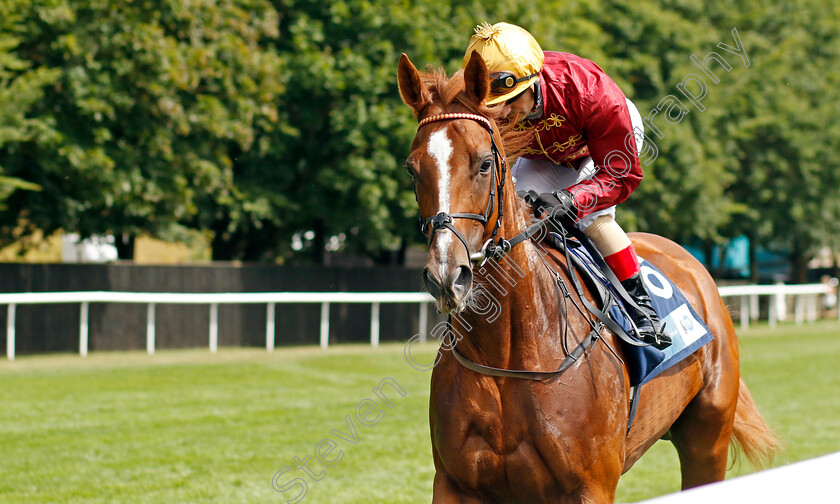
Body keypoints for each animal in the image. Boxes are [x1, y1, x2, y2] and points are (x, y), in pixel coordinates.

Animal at [400, 52, 780, 504]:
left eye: (485, 163)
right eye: (412, 169)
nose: (446, 274)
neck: (507, 355)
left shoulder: (590, 485)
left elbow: (622, 173)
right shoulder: (454, 482)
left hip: (707, 439)